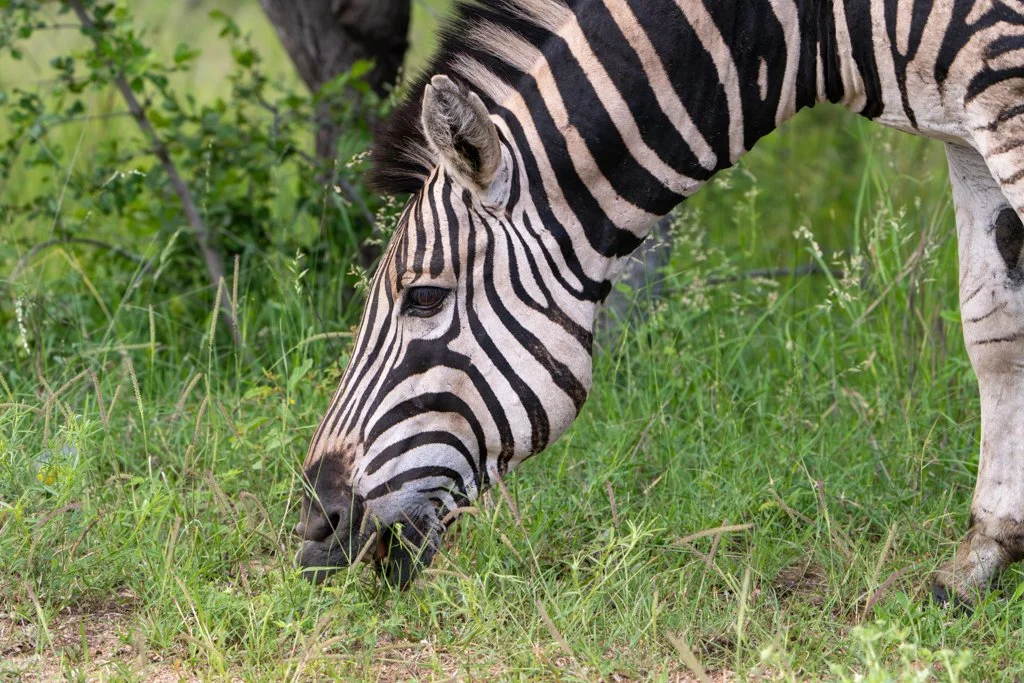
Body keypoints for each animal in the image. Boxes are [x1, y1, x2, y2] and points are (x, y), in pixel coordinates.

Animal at [294, 0, 1024, 604]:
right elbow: (996, 330)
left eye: (422, 297)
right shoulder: (961, 123)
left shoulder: (1004, 78)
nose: (313, 526)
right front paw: (983, 554)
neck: (816, 27)